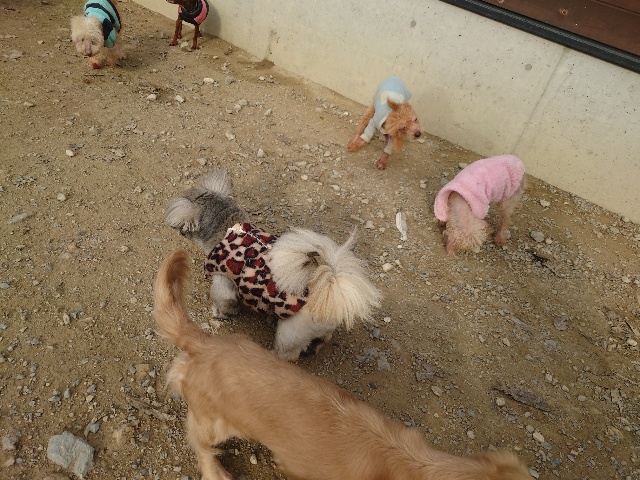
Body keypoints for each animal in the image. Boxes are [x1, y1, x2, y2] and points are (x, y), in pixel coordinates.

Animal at [164, 169, 381, 361]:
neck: (228, 226)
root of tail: (327, 289)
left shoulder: (223, 282)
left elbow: (224, 302)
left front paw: (221, 313)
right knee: (321, 340)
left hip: (288, 334)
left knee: (287, 354)